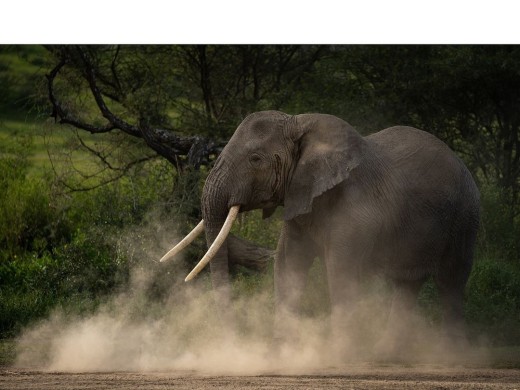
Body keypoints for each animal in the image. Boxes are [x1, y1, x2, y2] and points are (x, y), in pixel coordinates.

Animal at [161, 109, 480, 354]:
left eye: (255, 159)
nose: (232, 344)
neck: (300, 123)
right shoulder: (299, 199)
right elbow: (289, 264)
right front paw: (282, 352)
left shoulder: (356, 207)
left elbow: (340, 269)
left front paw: (338, 353)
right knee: (407, 285)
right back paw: (387, 354)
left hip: (465, 216)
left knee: (450, 281)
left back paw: (451, 356)